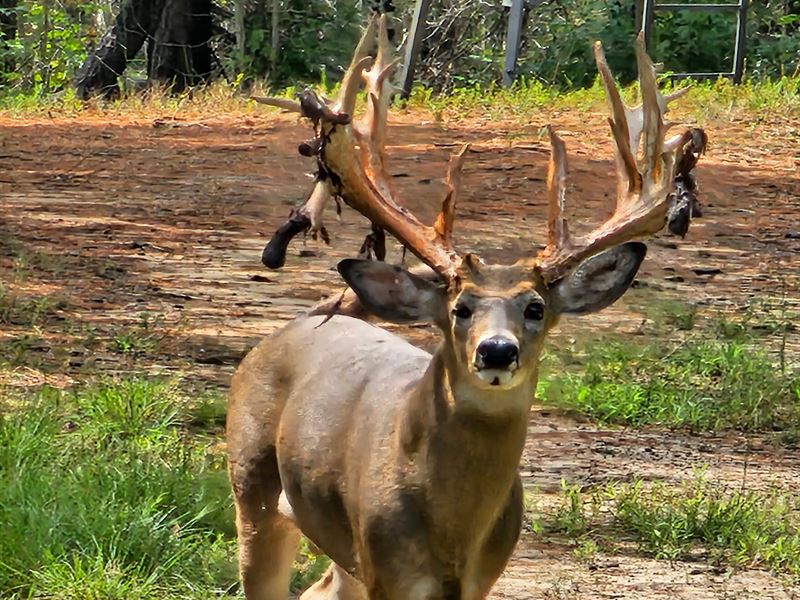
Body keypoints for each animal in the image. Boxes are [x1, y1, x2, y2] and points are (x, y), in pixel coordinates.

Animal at [227, 17, 708, 600]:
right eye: (459, 308)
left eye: (535, 308)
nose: (496, 351)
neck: (452, 539)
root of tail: (284, 332)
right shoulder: (387, 568)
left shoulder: (482, 575)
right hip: (253, 487)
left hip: (340, 546)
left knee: (319, 589)